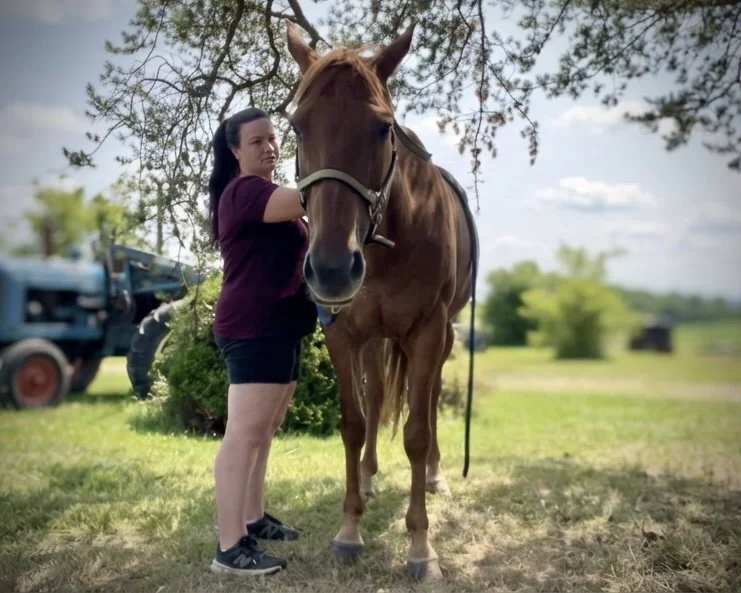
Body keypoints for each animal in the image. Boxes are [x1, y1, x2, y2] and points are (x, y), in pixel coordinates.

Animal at [286, 21, 479, 580]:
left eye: (381, 128)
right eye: (297, 128)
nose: (331, 269)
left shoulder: (428, 331)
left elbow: (415, 431)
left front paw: (421, 547)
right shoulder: (342, 331)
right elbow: (353, 423)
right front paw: (349, 530)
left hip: (444, 336)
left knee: (429, 402)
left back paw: (435, 475)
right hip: (373, 338)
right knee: (375, 402)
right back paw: (369, 477)